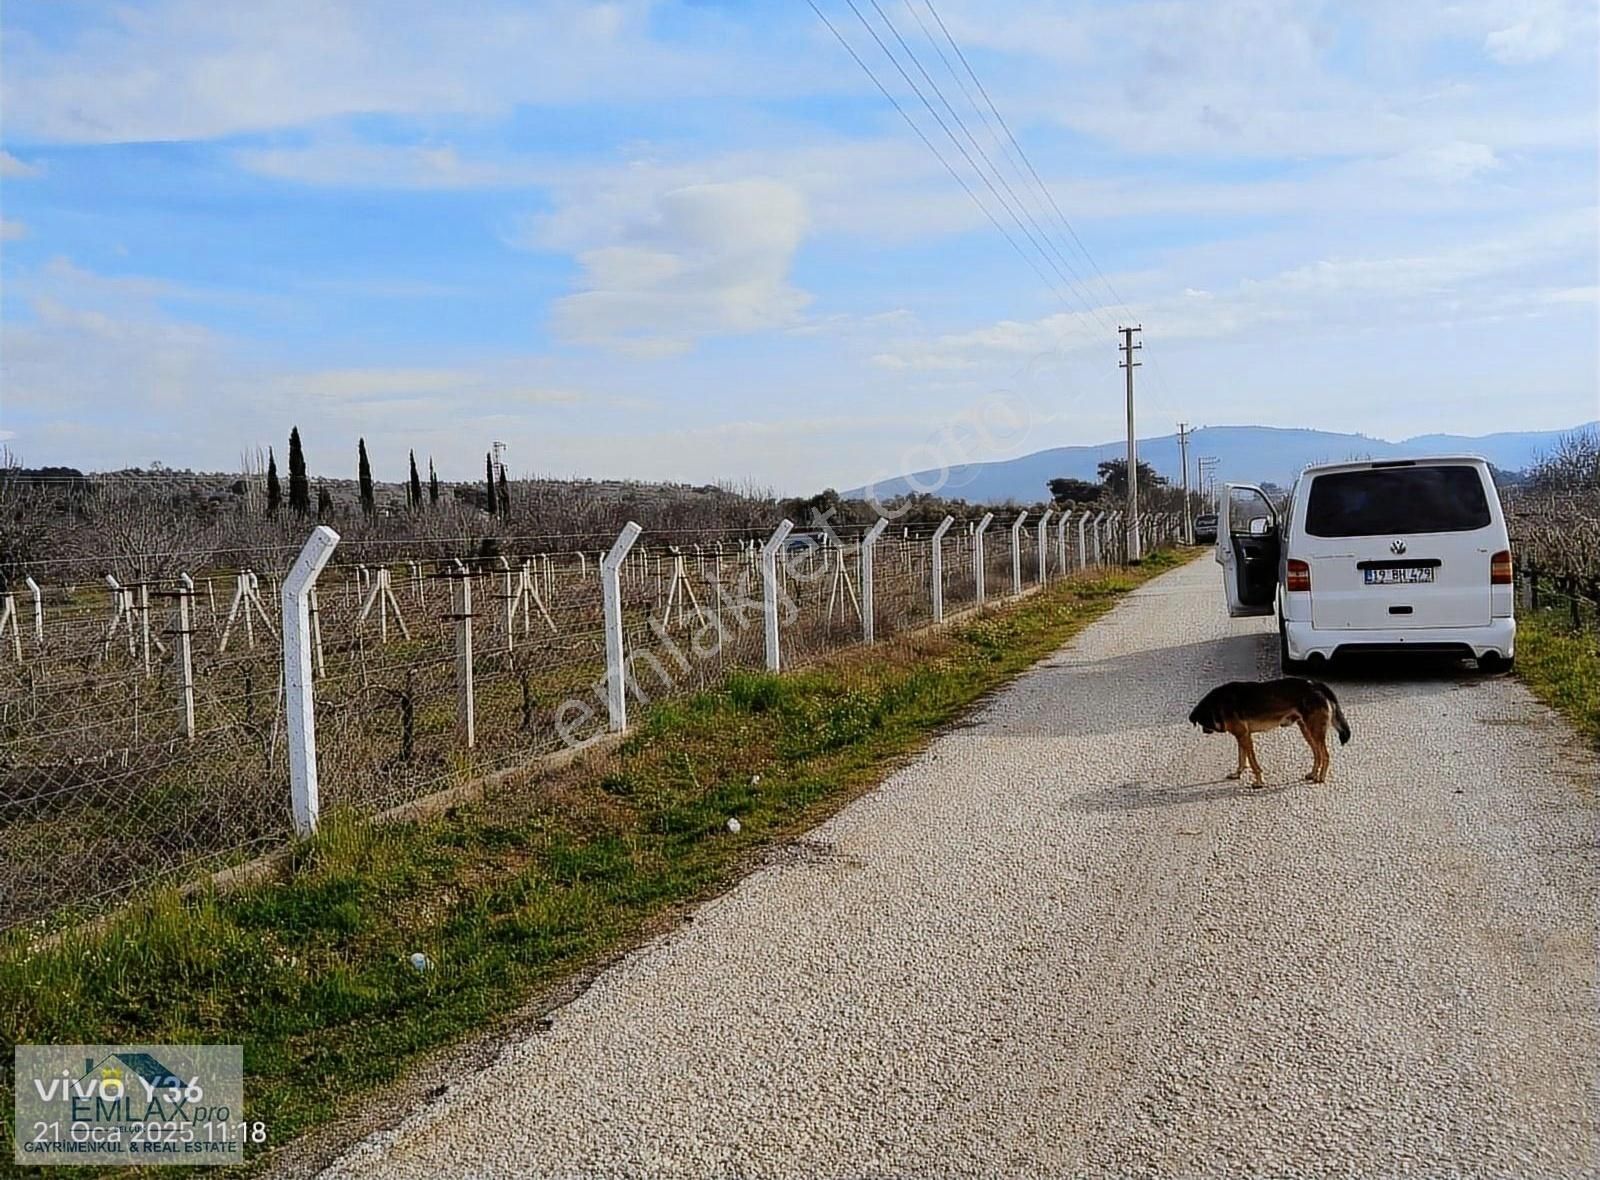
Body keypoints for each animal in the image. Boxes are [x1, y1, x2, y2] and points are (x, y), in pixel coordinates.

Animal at [1190, 674, 1350, 786]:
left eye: (1204, 722)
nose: (1205, 731)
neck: (1218, 703)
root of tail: (1316, 684)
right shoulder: (1241, 736)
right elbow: (1241, 758)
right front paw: (1237, 774)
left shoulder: (1244, 736)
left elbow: (1252, 763)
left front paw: (1259, 782)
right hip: (1306, 730)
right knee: (1317, 754)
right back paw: (1313, 774)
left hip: (1314, 731)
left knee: (1325, 755)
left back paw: (1320, 777)